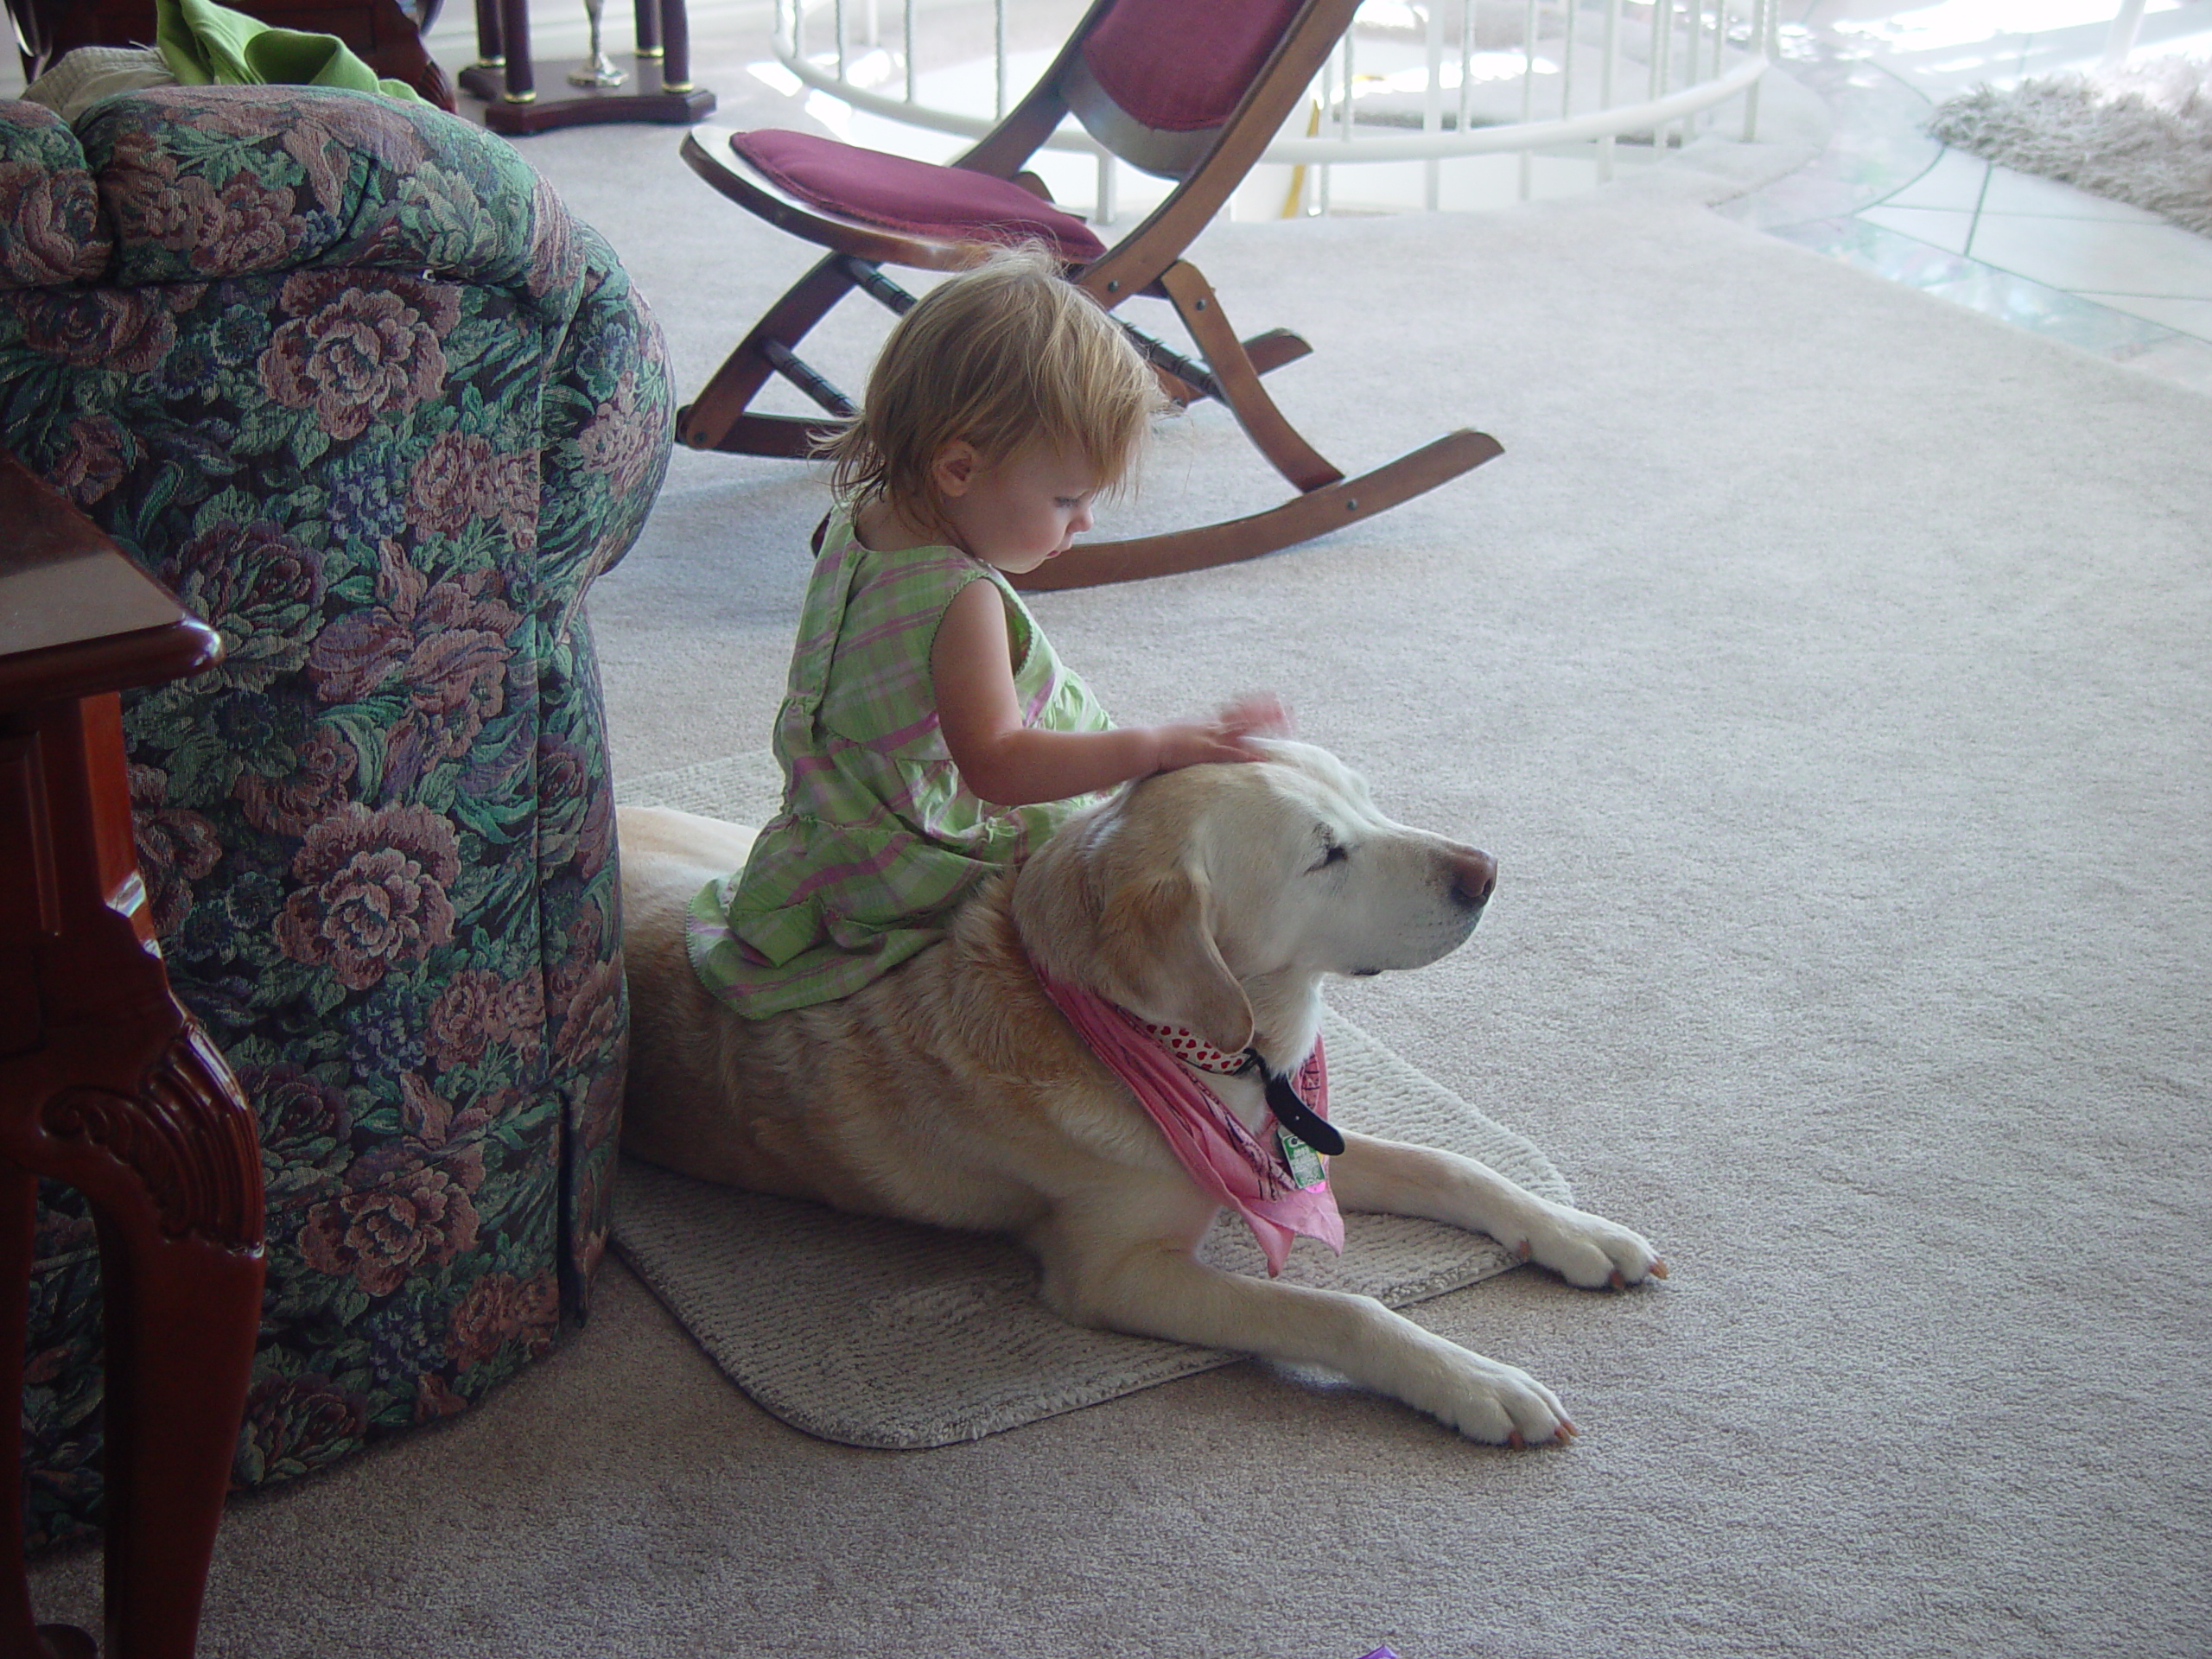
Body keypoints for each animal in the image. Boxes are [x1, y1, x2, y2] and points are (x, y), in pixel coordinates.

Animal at [619, 747, 1663, 1451]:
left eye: (1364, 799)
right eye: (1326, 855)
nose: (1486, 872)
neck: (1202, 1048)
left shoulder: (1286, 1128)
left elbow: (1455, 1166)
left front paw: (1575, 1232)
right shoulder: (1116, 1273)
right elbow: (1342, 1314)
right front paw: (1473, 1382)